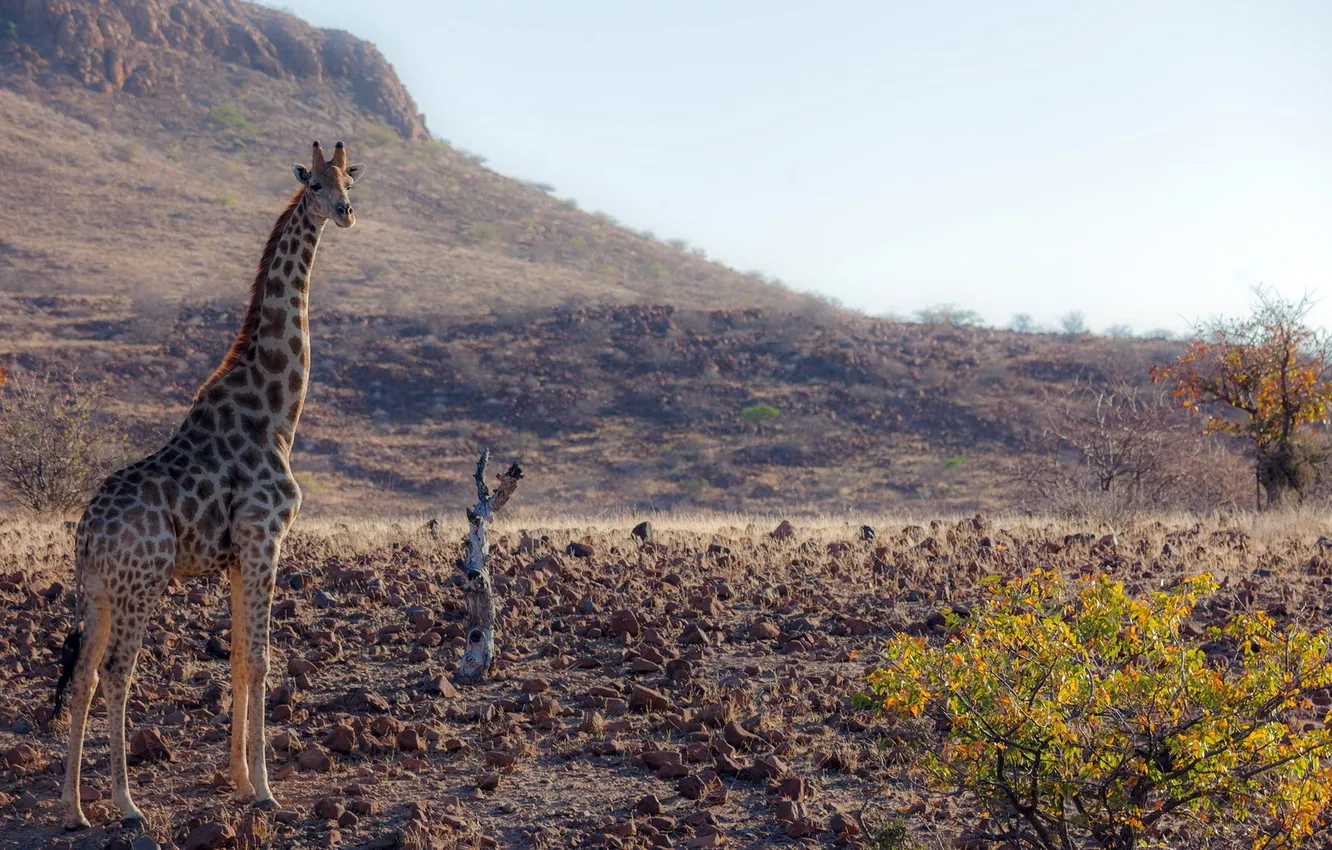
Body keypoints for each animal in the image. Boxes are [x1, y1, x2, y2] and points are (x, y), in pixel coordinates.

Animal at [53, 139, 364, 831]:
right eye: (314, 184)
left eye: (350, 179)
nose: (346, 213)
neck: (278, 412)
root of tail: (86, 535)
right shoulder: (263, 537)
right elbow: (262, 658)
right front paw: (266, 791)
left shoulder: (237, 555)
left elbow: (241, 659)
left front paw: (238, 780)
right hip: (142, 582)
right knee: (117, 672)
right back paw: (127, 804)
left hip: (99, 591)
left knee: (83, 675)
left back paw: (75, 808)